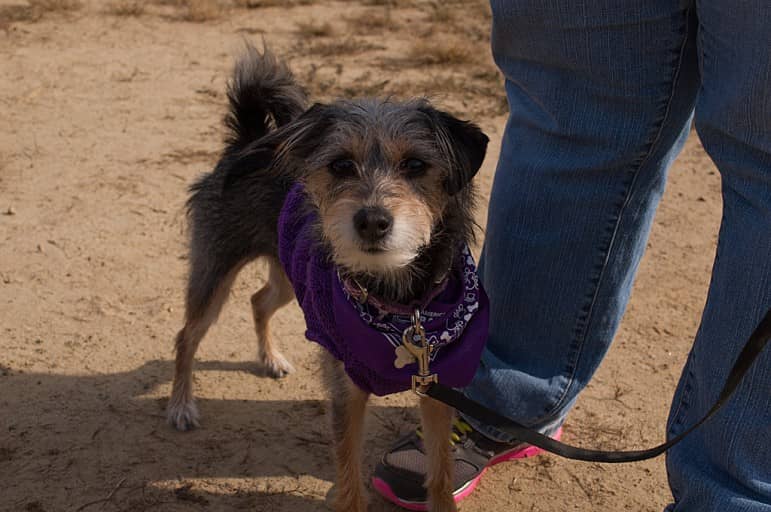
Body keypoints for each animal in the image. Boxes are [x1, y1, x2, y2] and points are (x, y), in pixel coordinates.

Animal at [168, 45, 488, 512]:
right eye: (340, 165)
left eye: (416, 164)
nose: (371, 220)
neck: (399, 302)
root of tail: (246, 143)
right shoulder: (347, 392)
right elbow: (350, 477)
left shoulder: (436, 390)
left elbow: (441, 473)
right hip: (214, 272)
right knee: (187, 336)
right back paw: (181, 405)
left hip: (288, 277)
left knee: (259, 300)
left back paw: (271, 358)